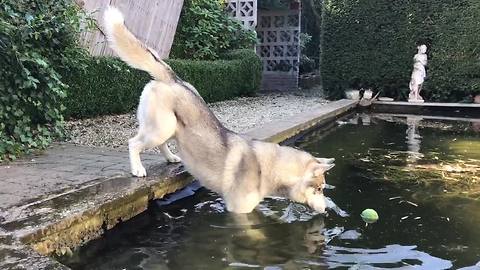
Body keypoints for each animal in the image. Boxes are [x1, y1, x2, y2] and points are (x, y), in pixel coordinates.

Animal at [102, 6, 334, 214]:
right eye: (319, 189)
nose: (325, 210)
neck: (267, 168)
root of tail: (173, 78)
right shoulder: (239, 213)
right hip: (161, 128)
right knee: (134, 143)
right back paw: (137, 168)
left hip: (168, 126)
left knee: (160, 144)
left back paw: (170, 157)